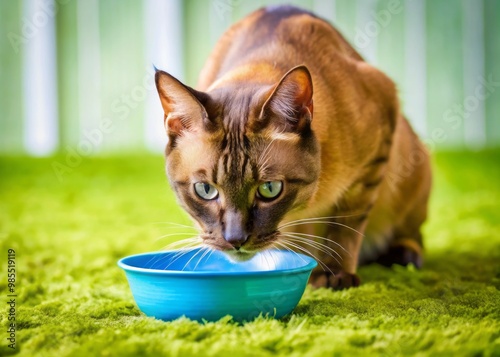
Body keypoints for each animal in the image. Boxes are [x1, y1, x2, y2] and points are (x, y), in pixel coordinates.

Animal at [155, 4, 430, 290]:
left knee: (413, 235)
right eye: (205, 190)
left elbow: (345, 228)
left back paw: (403, 255)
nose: (236, 239)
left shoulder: (372, 159)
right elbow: (302, 240)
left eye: (269, 189)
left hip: (412, 169)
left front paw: (334, 275)